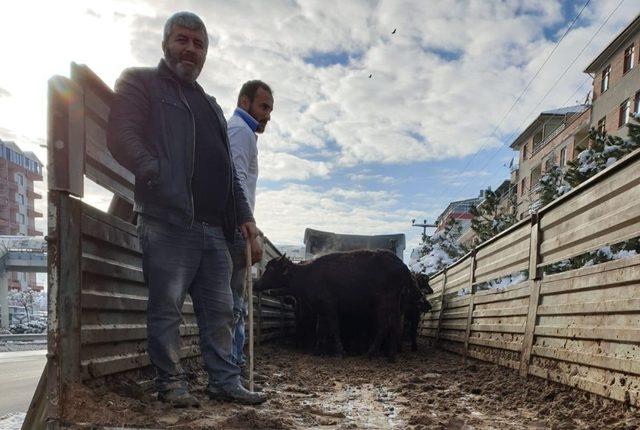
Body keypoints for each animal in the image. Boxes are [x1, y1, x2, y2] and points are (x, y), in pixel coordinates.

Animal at [252, 250, 412, 362]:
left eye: (271, 269)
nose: (256, 284)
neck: (307, 275)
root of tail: (402, 266)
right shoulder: (322, 310)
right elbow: (320, 329)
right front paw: (317, 351)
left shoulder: (329, 306)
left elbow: (334, 328)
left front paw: (340, 352)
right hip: (394, 303)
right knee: (395, 325)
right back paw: (391, 357)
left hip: (384, 302)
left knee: (385, 325)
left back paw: (370, 353)